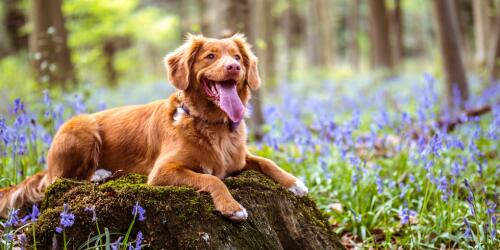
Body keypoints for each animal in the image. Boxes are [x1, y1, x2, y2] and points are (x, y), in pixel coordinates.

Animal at [0, 34, 306, 222]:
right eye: (210, 56)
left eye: (238, 57)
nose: (233, 67)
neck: (211, 124)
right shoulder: (162, 172)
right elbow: (212, 179)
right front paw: (232, 207)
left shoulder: (239, 159)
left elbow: (266, 161)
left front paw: (295, 183)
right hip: (81, 126)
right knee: (58, 180)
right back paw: (98, 174)